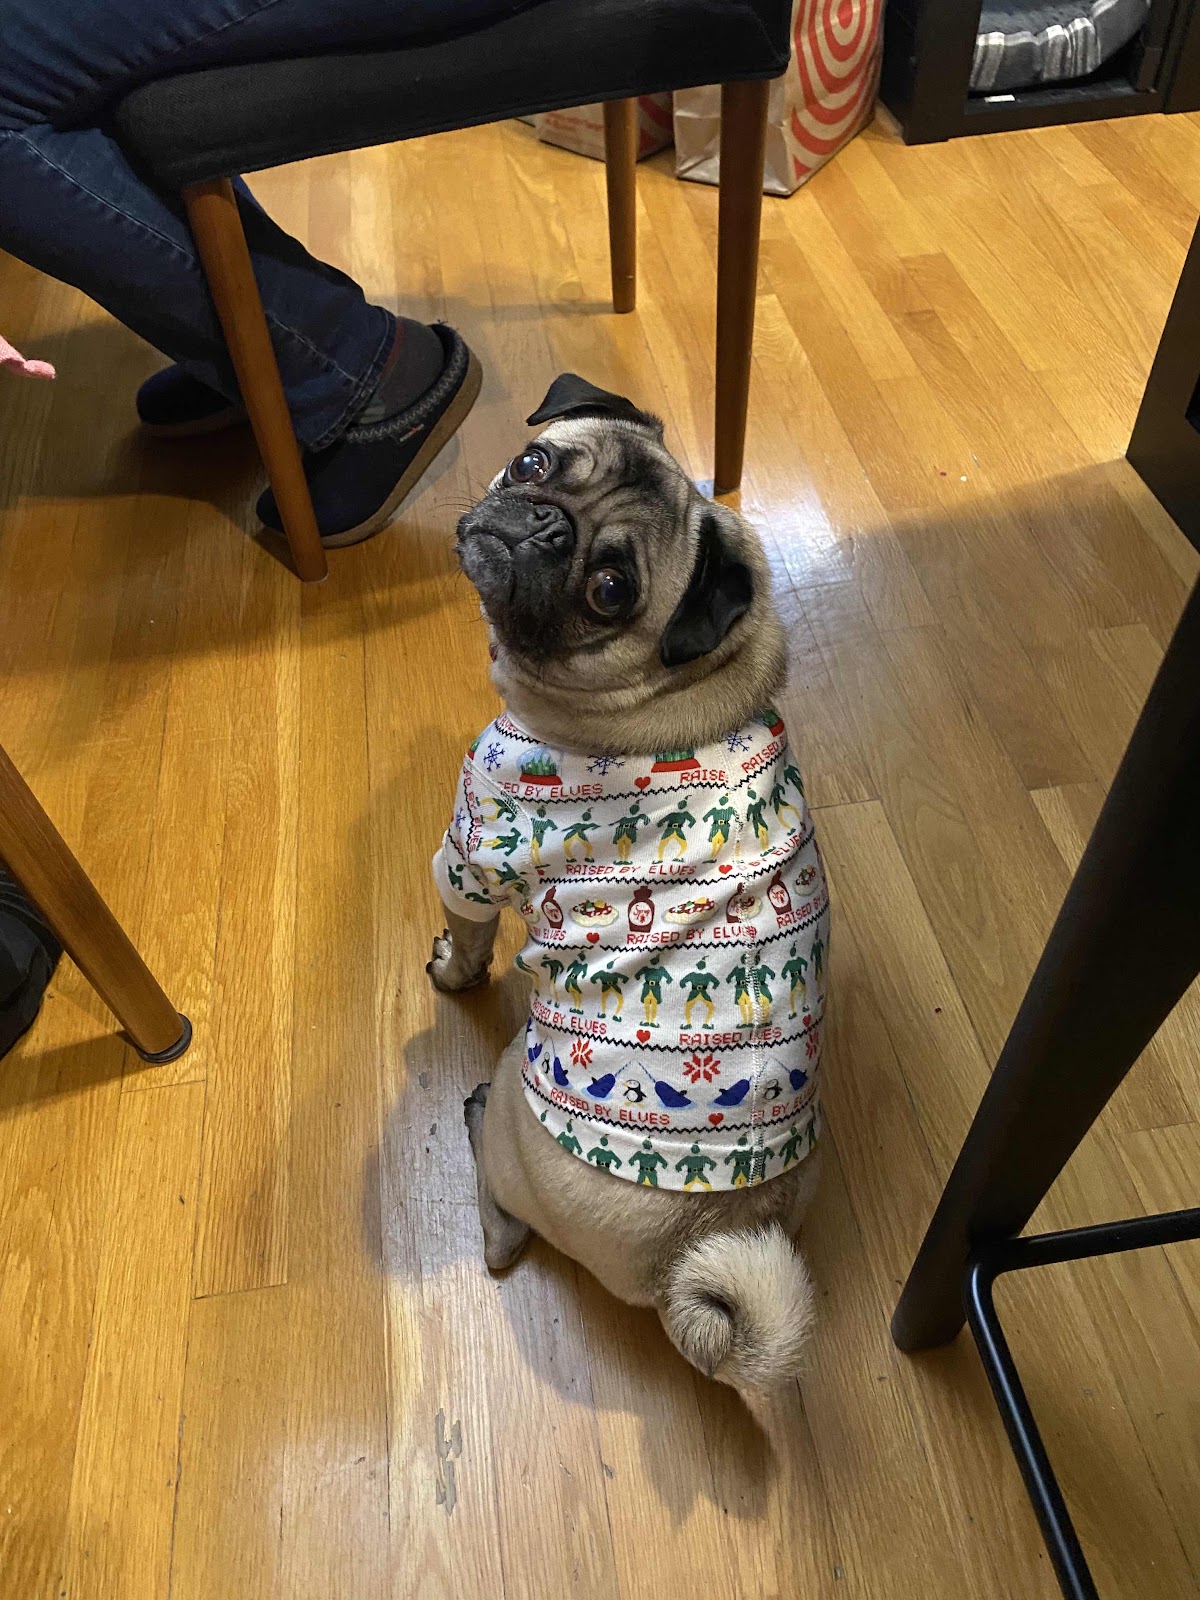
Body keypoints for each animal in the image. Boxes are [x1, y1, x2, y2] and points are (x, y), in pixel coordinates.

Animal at [428, 374, 830, 1402]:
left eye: (609, 591)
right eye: (533, 464)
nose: (542, 524)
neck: (671, 697)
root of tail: (692, 1254)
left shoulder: (470, 850)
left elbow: (468, 937)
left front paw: (449, 972)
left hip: (513, 1094)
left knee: (502, 1230)